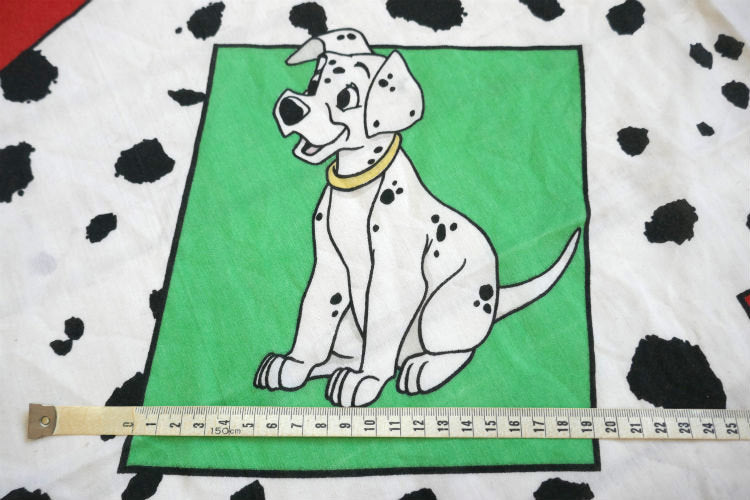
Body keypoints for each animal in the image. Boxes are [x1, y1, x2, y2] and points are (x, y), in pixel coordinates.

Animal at [254, 28, 580, 407]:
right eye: (313, 83)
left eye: (346, 97)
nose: (290, 107)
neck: (357, 187)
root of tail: (498, 293)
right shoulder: (329, 267)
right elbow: (313, 318)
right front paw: (295, 365)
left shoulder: (395, 277)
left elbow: (382, 331)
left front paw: (366, 379)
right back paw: (332, 366)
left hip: (442, 310)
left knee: (460, 351)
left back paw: (422, 369)